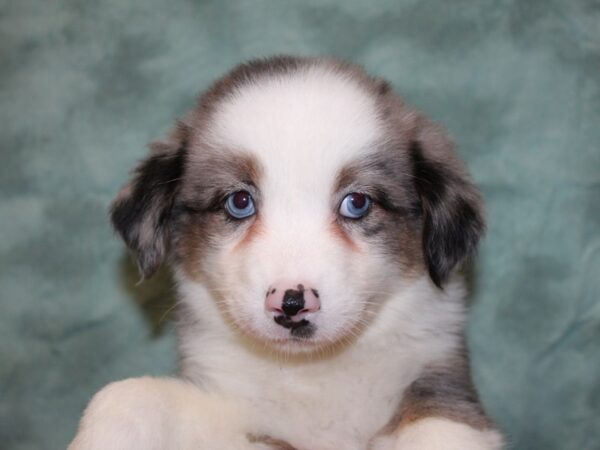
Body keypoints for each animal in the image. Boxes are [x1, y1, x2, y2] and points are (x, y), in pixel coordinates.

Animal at [69, 56, 502, 450]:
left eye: (357, 203)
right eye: (239, 201)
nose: (292, 303)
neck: (309, 370)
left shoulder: (442, 388)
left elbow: (439, 432)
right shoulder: (236, 410)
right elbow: (125, 396)